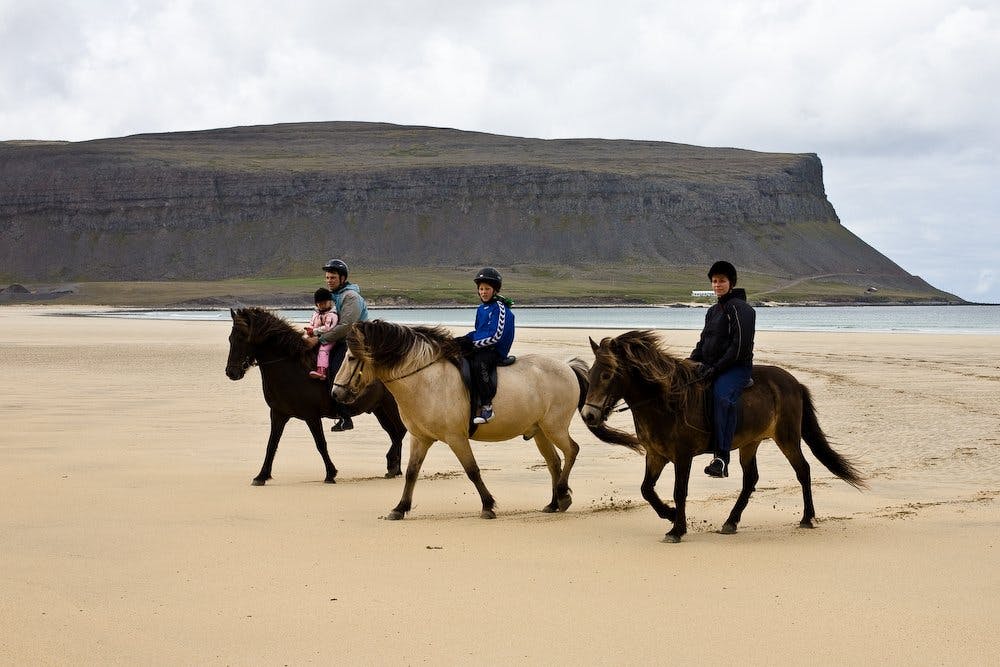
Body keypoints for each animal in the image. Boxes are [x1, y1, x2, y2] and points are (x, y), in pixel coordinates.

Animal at [226, 308, 406, 486]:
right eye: (230, 339)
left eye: (242, 337)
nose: (231, 372)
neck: (291, 367)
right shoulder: (278, 414)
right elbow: (272, 444)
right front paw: (261, 476)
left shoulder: (311, 415)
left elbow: (320, 444)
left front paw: (330, 473)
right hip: (379, 409)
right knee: (394, 433)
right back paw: (395, 468)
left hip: (391, 406)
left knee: (400, 432)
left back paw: (392, 463)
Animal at [330, 320, 640, 520]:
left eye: (350, 357)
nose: (336, 392)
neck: (425, 380)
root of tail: (567, 367)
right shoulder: (421, 438)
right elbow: (411, 473)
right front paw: (399, 508)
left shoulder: (456, 438)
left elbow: (472, 471)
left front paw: (488, 505)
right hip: (540, 431)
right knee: (554, 462)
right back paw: (554, 503)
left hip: (554, 426)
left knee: (572, 451)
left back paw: (563, 495)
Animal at [584, 328, 864, 544]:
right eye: (591, 373)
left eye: (607, 374)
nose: (588, 415)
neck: (664, 402)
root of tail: (794, 382)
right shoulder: (655, 455)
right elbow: (646, 490)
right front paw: (671, 515)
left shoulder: (682, 456)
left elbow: (679, 491)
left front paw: (677, 529)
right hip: (750, 443)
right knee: (750, 479)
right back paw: (731, 522)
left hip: (787, 437)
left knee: (803, 470)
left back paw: (807, 518)